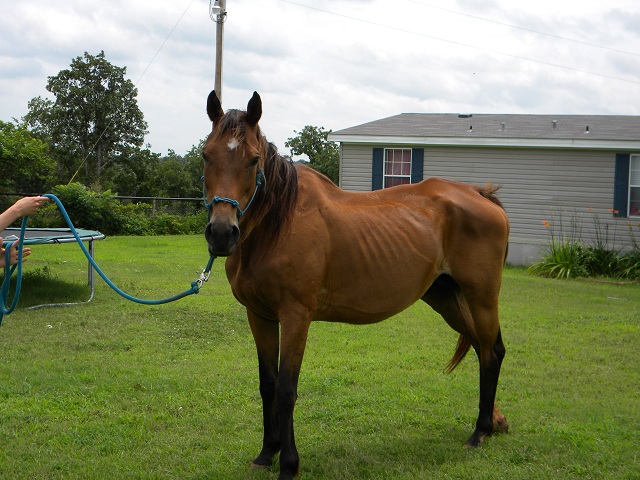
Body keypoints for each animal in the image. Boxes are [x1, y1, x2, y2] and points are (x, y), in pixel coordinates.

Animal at [201, 91, 510, 480]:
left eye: (253, 160)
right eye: (206, 154)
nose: (221, 233)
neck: (278, 224)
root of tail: (480, 194)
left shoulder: (296, 317)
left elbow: (287, 390)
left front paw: (289, 464)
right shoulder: (260, 316)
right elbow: (267, 384)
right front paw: (266, 453)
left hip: (481, 297)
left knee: (492, 353)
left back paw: (479, 432)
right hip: (446, 298)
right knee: (484, 349)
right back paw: (491, 424)